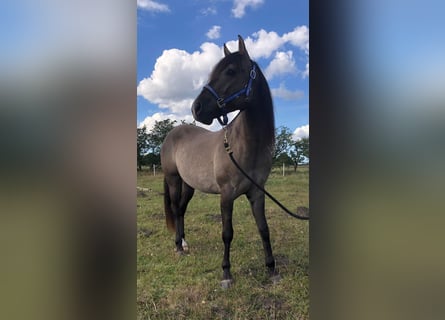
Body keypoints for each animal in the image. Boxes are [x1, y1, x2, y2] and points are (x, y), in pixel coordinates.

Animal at [160, 35, 278, 288]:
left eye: (231, 71)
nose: (196, 108)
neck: (243, 146)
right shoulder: (226, 195)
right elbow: (227, 233)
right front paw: (226, 274)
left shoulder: (257, 192)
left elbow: (264, 228)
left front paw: (272, 269)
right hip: (174, 180)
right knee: (175, 208)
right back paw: (178, 247)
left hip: (189, 185)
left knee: (181, 210)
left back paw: (184, 243)